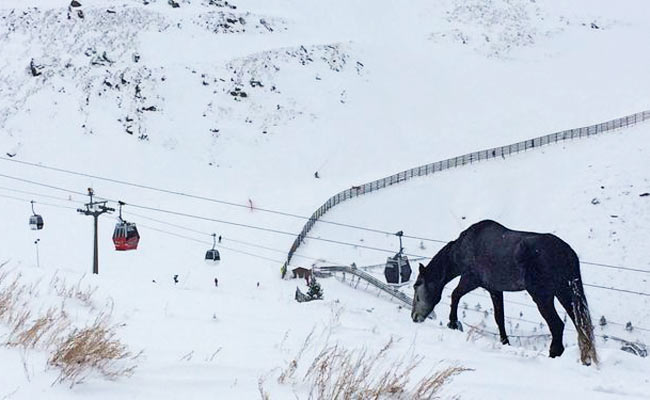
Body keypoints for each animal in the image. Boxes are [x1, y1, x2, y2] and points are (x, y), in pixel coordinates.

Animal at [410, 219, 596, 366]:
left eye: (417, 285)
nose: (414, 316)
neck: (463, 248)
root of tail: (566, 253)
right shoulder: (495, 289)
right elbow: (499, 317)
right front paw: (505, 342)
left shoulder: (471, 279)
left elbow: (455, 295)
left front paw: (453, 323)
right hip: (564, 293)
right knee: (579, 325)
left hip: (543, 297)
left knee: (557, 325)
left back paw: (554, 354)